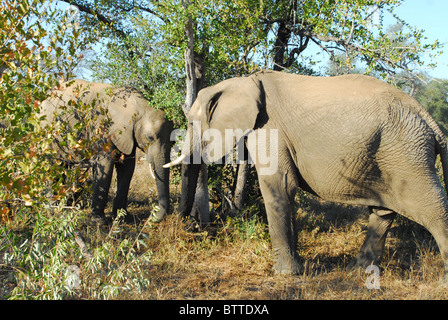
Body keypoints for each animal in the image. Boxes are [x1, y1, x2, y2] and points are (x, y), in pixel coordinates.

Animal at [40, 79, 173, 224]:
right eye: (150, 138)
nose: (151, 217)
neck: (139, 106)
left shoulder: (126, 135)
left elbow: (127, 167)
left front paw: (122, 218)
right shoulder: (102, 127)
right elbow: (105, 164)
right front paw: (99, 221)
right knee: (52, 166)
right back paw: (53, 210)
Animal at [165, 70, 448, 282]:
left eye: (191, 123)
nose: (187, 227)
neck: (241, 82)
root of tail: (430, 119)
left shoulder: (267, 127)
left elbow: (278, 186)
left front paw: (284, 274)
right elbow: (286, 190)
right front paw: (297, 269)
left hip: (408, 154)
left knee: (432, 208)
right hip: (391, 155)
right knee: (382, 212)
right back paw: (356, 271)